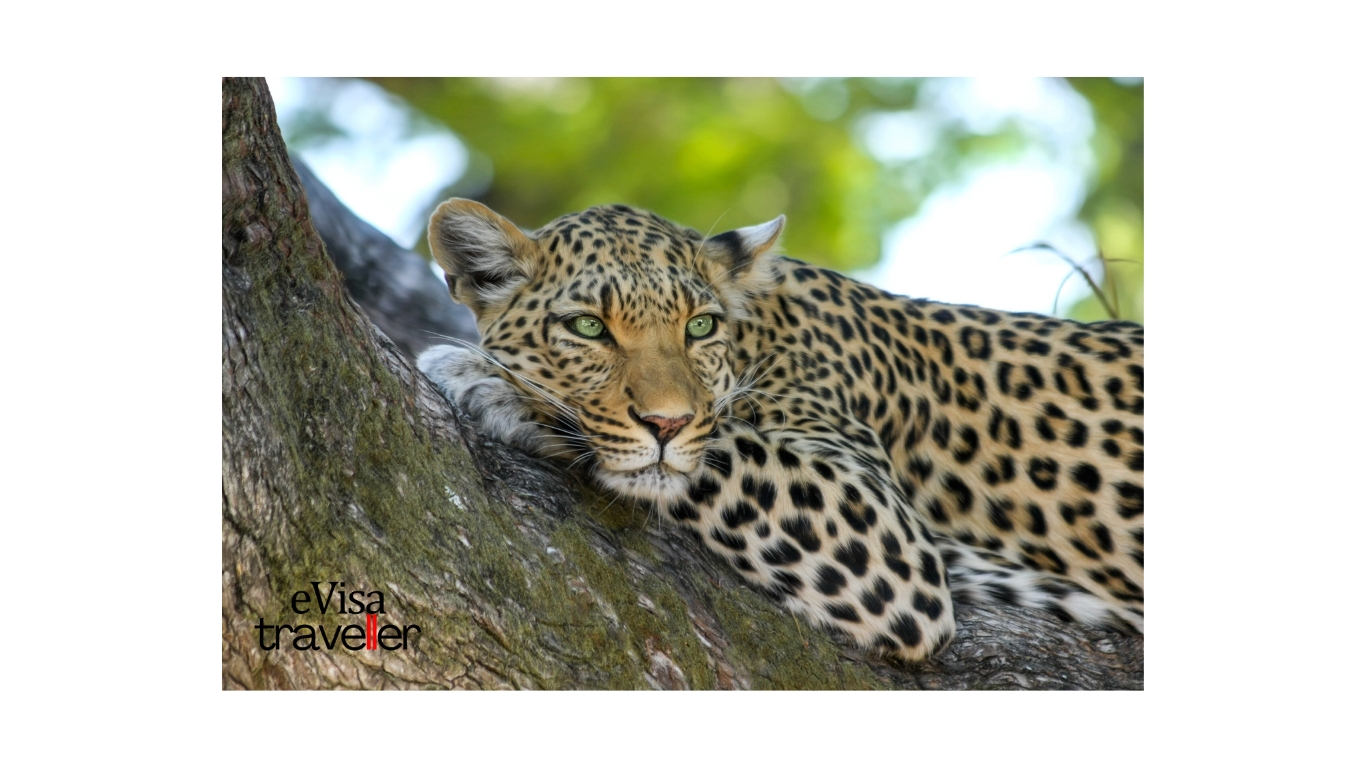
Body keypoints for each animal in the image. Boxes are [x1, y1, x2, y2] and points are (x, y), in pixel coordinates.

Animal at [415, 196, 1141, 658]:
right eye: (589, 327)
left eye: (699, 326)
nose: (666, 422)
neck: (761, 333)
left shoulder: (885, 535)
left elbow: (716, 449)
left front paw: (488, 380)